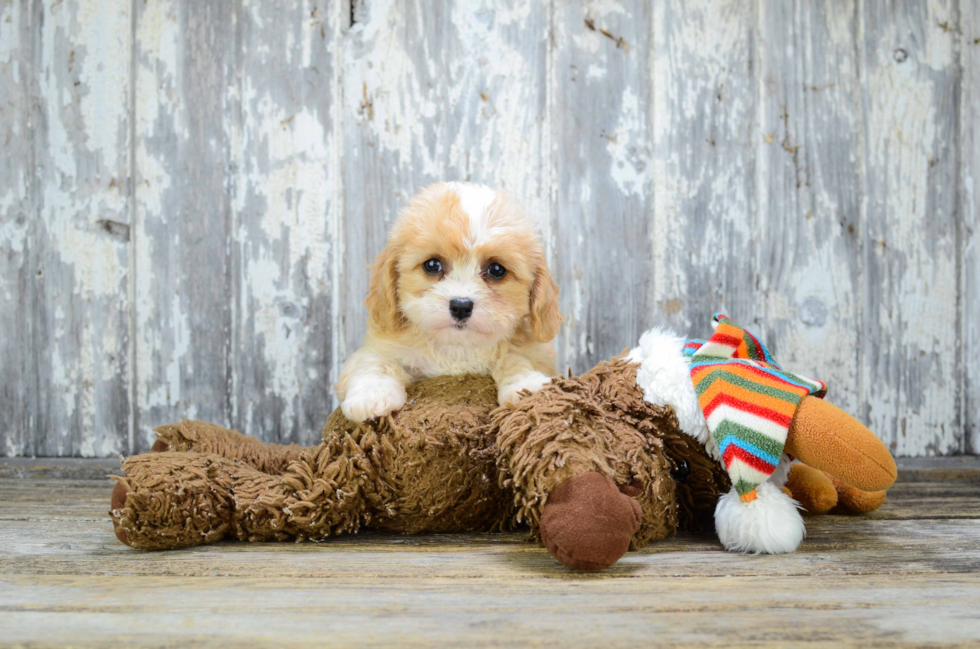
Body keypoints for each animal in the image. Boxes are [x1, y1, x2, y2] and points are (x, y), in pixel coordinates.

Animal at [336, 182, 564, 426]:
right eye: (432, 265)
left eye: (496, 269)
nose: (461, 306)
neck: (456, 348)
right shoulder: (376, 349)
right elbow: (375, 363)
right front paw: (372, 395)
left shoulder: (538, 354)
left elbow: (515, 358)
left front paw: (525, 385)